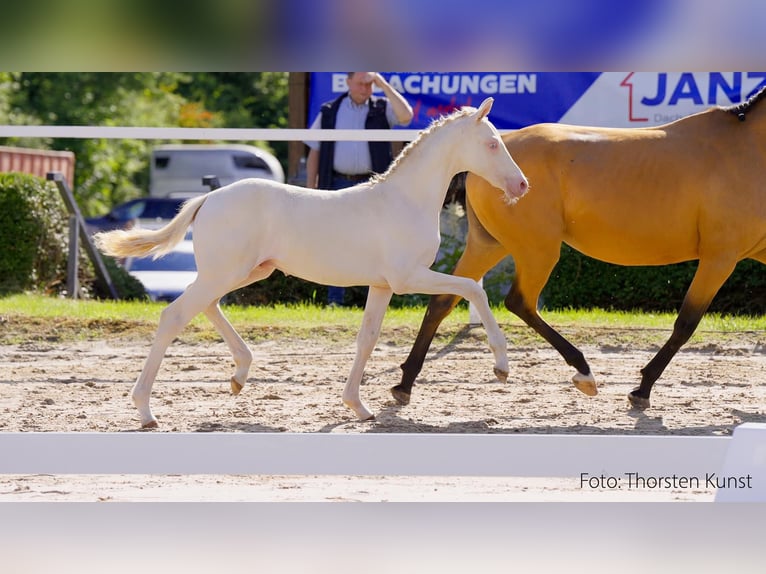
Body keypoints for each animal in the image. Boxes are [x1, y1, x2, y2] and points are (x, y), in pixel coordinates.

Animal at [396, 88, 766, 412]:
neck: (747, 150)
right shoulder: (720, 256)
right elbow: (686, 323)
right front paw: (641, 390)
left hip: (489, 245)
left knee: (444, 300)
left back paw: (404, 384)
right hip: (538, 249)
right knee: (519, 301)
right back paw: (583, 372)